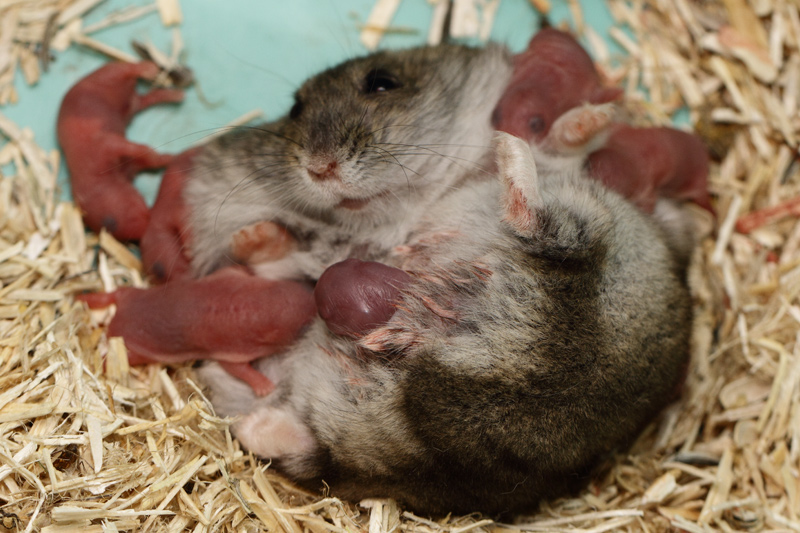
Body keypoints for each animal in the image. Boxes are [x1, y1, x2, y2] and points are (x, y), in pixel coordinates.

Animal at [58, 59, 185, 239]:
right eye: (111, 227)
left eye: (111, 221)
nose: (144, 230)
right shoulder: (130, 167)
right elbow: (147, 160)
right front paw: (168, 158)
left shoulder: (104, 148)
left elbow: (132, 147)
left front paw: (159, 154)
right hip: (133, 104)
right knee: (145, 98)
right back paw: (173, 94)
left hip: (104, 78)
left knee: (124, 69)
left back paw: (148, 68)